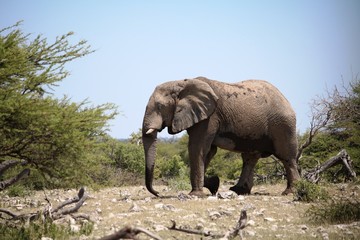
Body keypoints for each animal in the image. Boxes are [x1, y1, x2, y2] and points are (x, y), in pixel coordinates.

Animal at [142, 77, 300, 197]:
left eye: (159, 106)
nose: (158, 193)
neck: (181, 82)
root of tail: (285, 98)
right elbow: (209, 151)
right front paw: (214, 184)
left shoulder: (209, 117)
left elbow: (197, 148)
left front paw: (196, 194)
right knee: (250, 157)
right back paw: (238, 191)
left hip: (282, 125)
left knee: (286, 157)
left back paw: (290, 192)